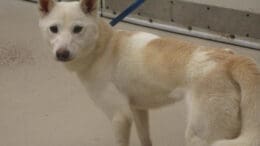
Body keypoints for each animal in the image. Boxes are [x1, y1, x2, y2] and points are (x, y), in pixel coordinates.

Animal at [38, 0, 260, 146]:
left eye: (78, 29)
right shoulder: (138, 110)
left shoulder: (120, 118)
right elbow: (145, 138)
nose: (62, 54)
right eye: (53, 29)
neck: (103, 47)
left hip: (202, 135)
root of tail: (230, 59)